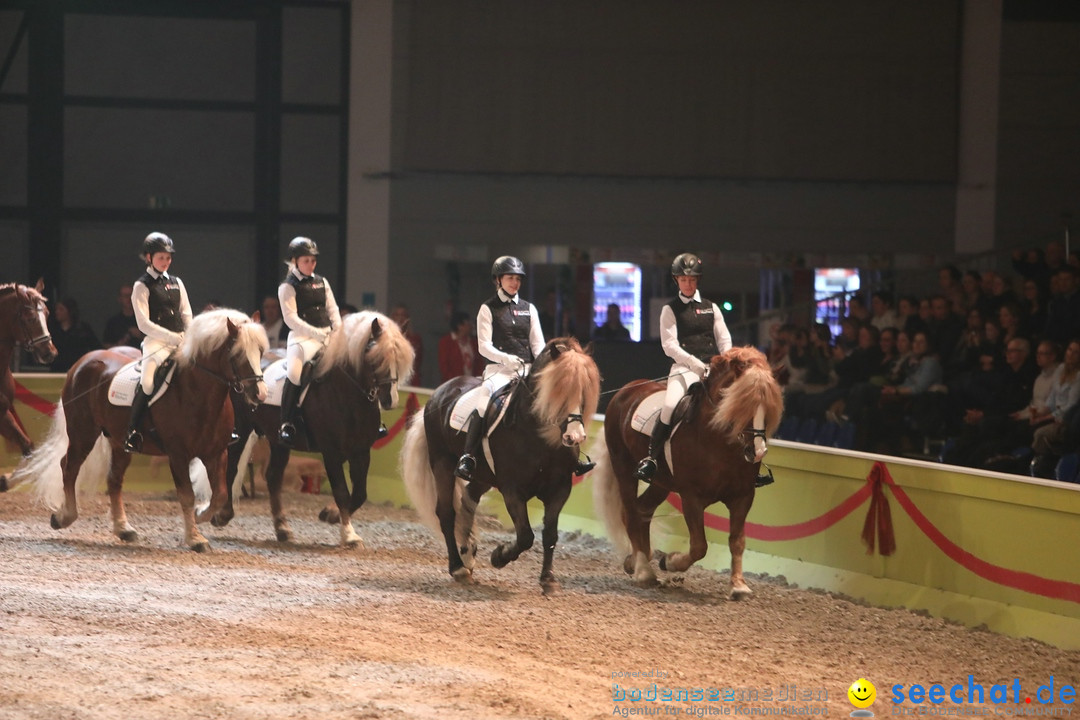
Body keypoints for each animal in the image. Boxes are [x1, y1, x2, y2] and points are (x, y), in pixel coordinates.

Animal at [0, 280, 58, 490]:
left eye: (47, 314)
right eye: (30, 318)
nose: (50, 353)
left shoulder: (3, 412)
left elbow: (28, 447)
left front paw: (5, 481)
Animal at [11, 310, 270, 552]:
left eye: (260, 351)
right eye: (237, 354)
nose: (260, 394)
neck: (198, 394)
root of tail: (84, 360)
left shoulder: (217, 453)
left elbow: (220, 494)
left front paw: (201, 515)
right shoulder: (178, 455)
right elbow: (187, 495)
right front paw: (195, 538)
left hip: (119, 442)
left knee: (114, 480)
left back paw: (123, 529)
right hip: (83, 432)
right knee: (69, 467)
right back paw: (64, 517)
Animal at [212, 310, 414, 546]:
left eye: (400, 360)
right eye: (376, 358)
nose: (390, 400)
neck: (348, 395)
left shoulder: (361, 452)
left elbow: (360, 493)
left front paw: (331, 514)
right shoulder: (331, 453)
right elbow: (342, 492)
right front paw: (349, 534)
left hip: (278, 440)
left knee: (273, 477)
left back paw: (282, 528)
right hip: (242, 428)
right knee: (233, 468)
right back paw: (223, 515)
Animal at [399, 341, 600, 595]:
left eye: (584, 393)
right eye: (557, 391)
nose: (575, 437)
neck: (539, 437)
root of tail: (439, 392)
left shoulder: (560, 489)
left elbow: (550, 535)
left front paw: (548, 580)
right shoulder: (512, 490)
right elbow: (525, 536)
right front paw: (499, 556)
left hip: (482, 476)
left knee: (467, 500)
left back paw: (468, 554)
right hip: (442, 463)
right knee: (446, 513)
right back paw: (458, 567)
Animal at [591, 345, 786, 600]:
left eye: (770, 407)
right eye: (741, 403)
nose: (758, 452)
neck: (719, 442)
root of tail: (626, 390)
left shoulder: (743, 496)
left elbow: (737, 541)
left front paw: (738, 585)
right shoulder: (692, 497)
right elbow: (699, 546)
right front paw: (670, 562)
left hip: (661, 482)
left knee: (643, 510)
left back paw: (635, 560)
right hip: (623, 468)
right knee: (631, 514)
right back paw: (643, 570)